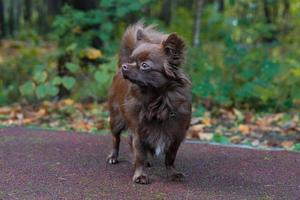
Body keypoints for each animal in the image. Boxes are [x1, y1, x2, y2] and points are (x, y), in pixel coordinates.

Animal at [107, 22, 192, 184]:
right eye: (131, 61)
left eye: (145, 65)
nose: (125, 66)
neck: (157, 102)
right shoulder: (139, 132)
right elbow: (139, 154)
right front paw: (140, 175)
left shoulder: (176, 134)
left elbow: (170, 157)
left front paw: (173, 173)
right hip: (116, 119)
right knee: (116, 138)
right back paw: (113, 157)